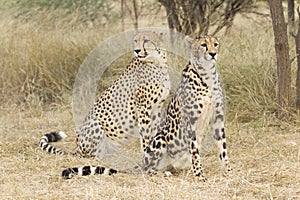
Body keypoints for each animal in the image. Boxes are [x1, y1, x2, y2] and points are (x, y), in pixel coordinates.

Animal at [39, 30, 171, 167]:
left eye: (146, 40)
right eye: (135, 41)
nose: (136, 50)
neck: (158, 62)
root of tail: (77, 148)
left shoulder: (157, 107)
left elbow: (154, 132)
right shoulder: (143, 107)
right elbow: (145, 135)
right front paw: (147, 154)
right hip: (95, 124)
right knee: (89, 154)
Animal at [143, 36, 232, 181]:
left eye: (216, 44)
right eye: (203, 45)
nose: (213, 54)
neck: (207, 74)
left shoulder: (217, 119)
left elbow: (223, 148)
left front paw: (228, 172)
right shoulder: (190, 121)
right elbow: (194, 151)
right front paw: (200, 175)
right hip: (160, 139)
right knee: (148, 169)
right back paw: (163, 173)